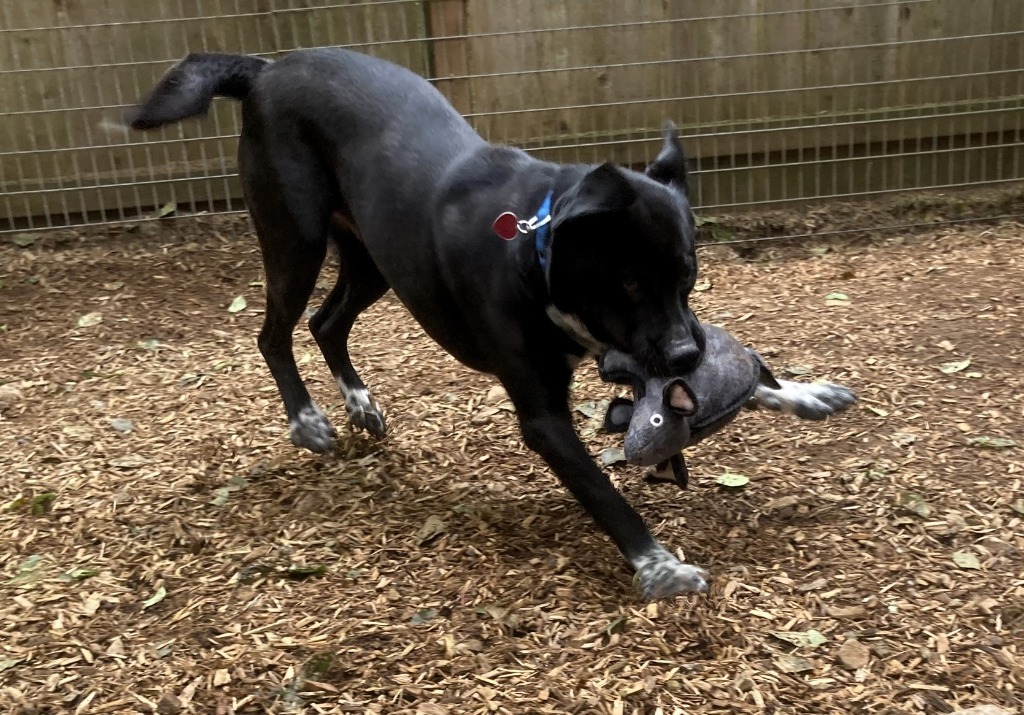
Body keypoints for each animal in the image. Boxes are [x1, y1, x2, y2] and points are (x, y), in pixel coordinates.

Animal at [130, 47, 720, 598]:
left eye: (688, 273)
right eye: (630, 284)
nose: (688, 355)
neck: (536, 248)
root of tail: (267, 68)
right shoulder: (544, 418)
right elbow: (603, 493)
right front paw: (660, 567)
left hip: (375, 261)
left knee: (325, 323)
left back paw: (359, 403)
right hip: (295, 240)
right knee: (272, 334)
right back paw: (307, 420)